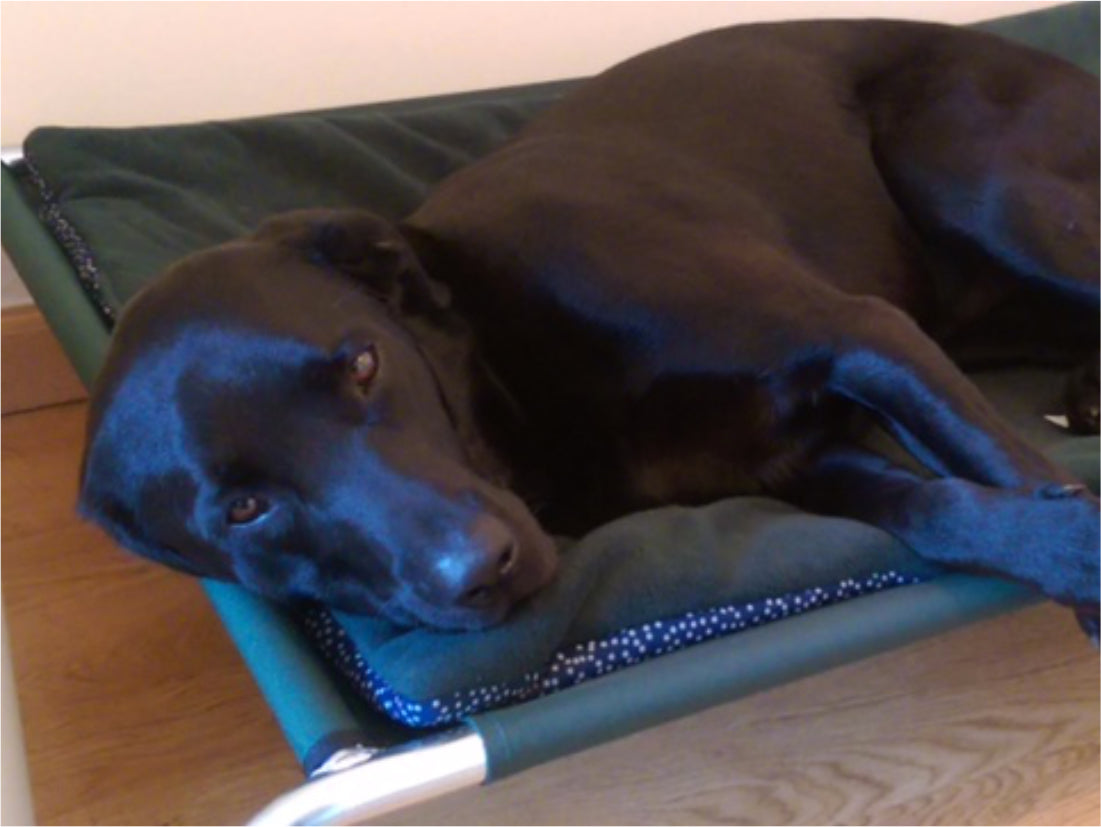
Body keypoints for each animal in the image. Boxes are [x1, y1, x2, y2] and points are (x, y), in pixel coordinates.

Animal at [81, 22, 1096, 634]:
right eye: (244, 511)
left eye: (363, 364)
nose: (480, 569)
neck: (512, 356)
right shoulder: (796, 463)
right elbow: (932, 508)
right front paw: (1053, 545)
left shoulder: (858, 331)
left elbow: (999, 459)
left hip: (975, 189)